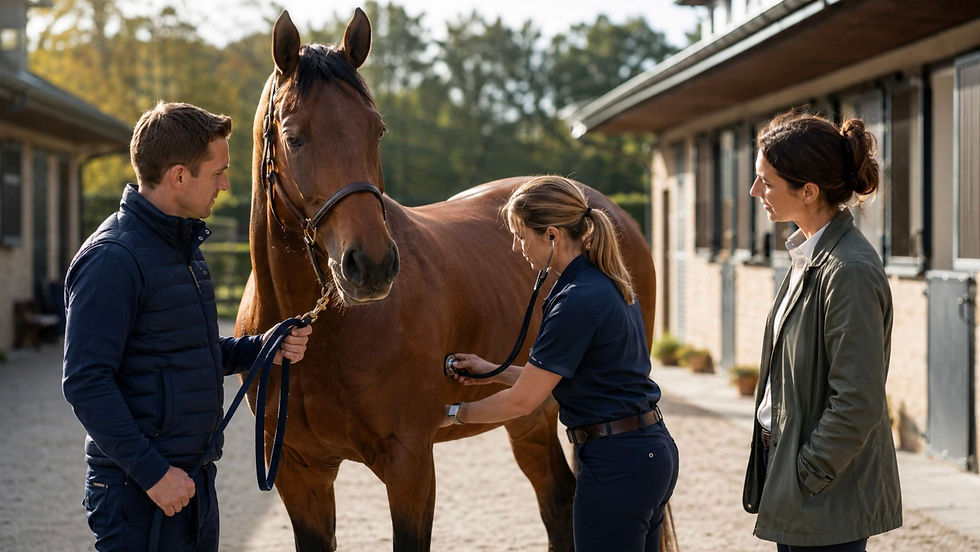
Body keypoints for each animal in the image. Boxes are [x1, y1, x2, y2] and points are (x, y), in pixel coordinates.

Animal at [235, 8, 675, 552]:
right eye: (294, 136)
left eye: (376, 130)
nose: (371, 265)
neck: (318, 335)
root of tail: (607, 209)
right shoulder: (300, 473)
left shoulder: (410, 467)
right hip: (529, 418)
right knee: (559, 501)